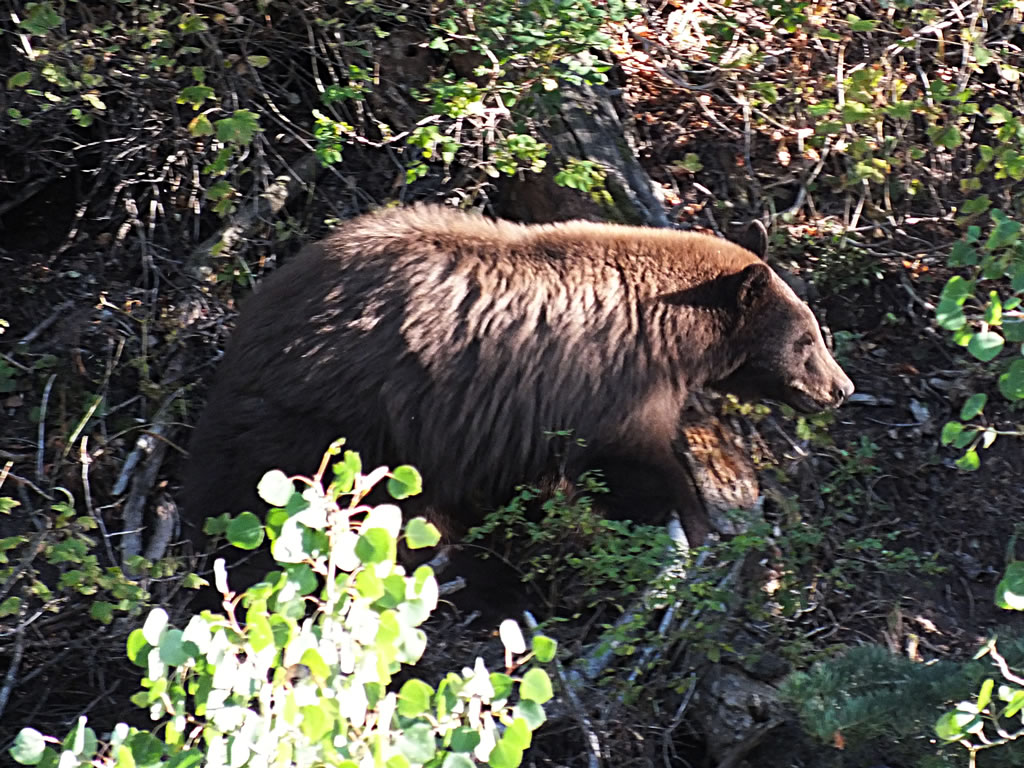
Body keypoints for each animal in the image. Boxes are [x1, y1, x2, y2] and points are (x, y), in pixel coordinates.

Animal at [181, 205, 854, 580]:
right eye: (808, 338)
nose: (841, 389)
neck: (668, 329)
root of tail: (257, 309)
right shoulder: (611, 388)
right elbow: (638, 465)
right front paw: (696, 528)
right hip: (330, 408)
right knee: (257, 478)